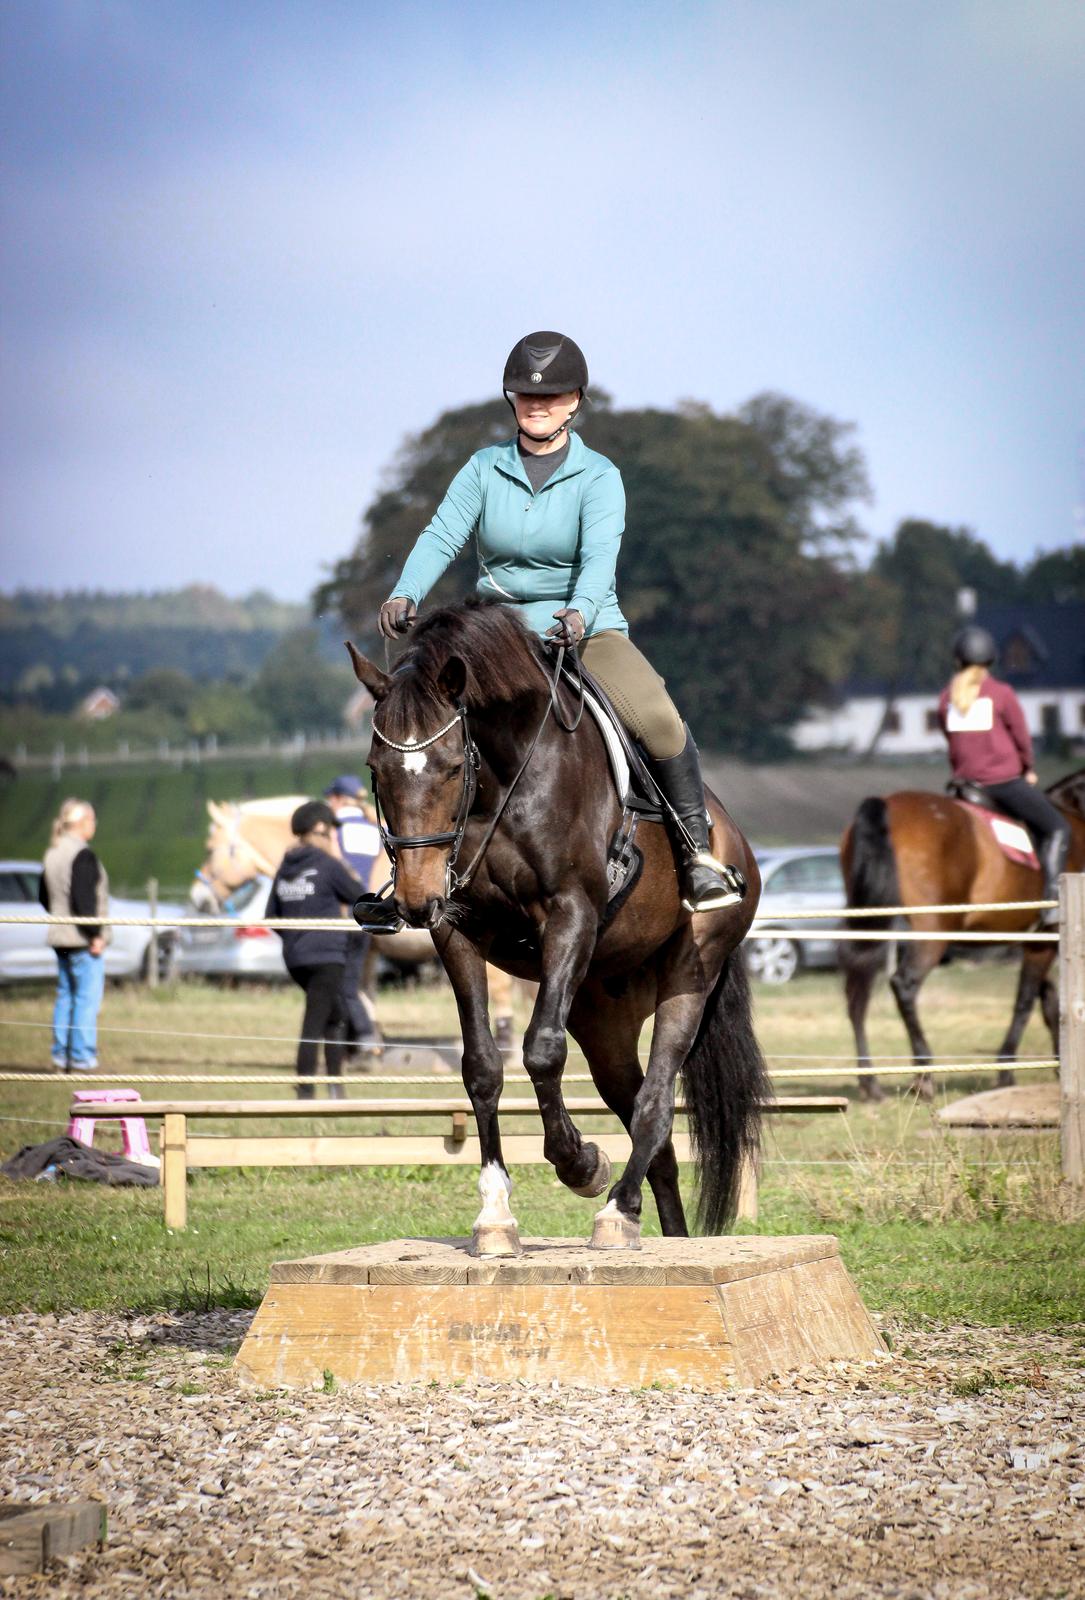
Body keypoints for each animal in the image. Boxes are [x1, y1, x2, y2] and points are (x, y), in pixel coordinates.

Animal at [345, 598, 764, 1248]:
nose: (415, 899)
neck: (499, 786)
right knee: (653, 1130)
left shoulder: (570, 913)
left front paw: (580, 1164)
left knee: (655, 1103)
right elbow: (481, 1065)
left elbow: (541, 1049)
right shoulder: (456, 929)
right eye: (376, 768)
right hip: (603, 1016)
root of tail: (734, 837)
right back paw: (660, 1233)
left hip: (690, 973)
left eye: (450, 767)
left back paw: (617, 1210)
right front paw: (495, 1213)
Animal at [838, 764, 1085, 1094]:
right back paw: (923, 1075)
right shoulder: (1043, 941)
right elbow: (1025, 1001)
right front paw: (1006, 1072)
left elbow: (1049, 1001)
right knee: (904, 985)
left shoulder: (1036, 940)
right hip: (932, 931)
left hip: (870, 922)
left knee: (857, 989)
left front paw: (1060, 1067)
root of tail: (888, 805)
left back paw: (870, 1083)